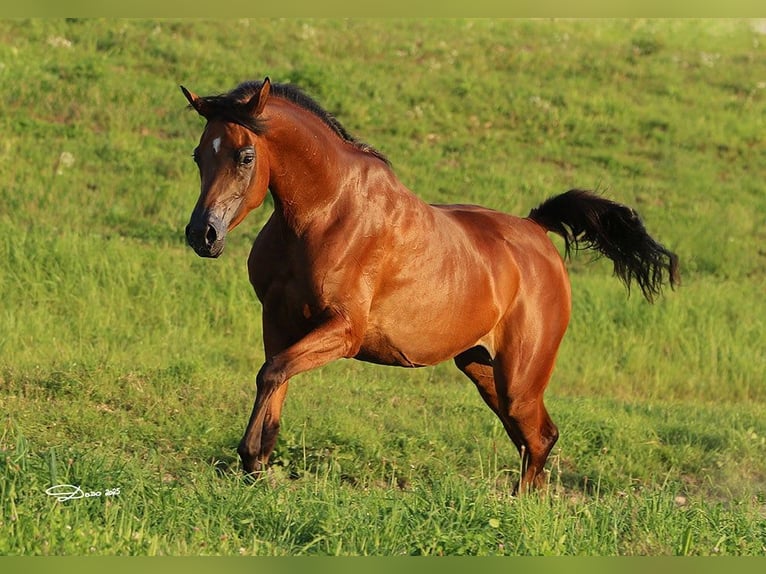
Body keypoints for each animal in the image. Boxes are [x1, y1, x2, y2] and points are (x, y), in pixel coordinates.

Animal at [180, 77, 679, 492]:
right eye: (199, 155)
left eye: (245, 156)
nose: (203, 234)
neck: (324, 214)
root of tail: (537, 231)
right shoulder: (279, 321)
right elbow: (274, 379)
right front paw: (257, 466)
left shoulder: (343, 331)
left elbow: (272, 373)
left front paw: (249, 458)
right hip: (481, 367)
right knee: (531, 438)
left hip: (520, 378)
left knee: (539, 437)